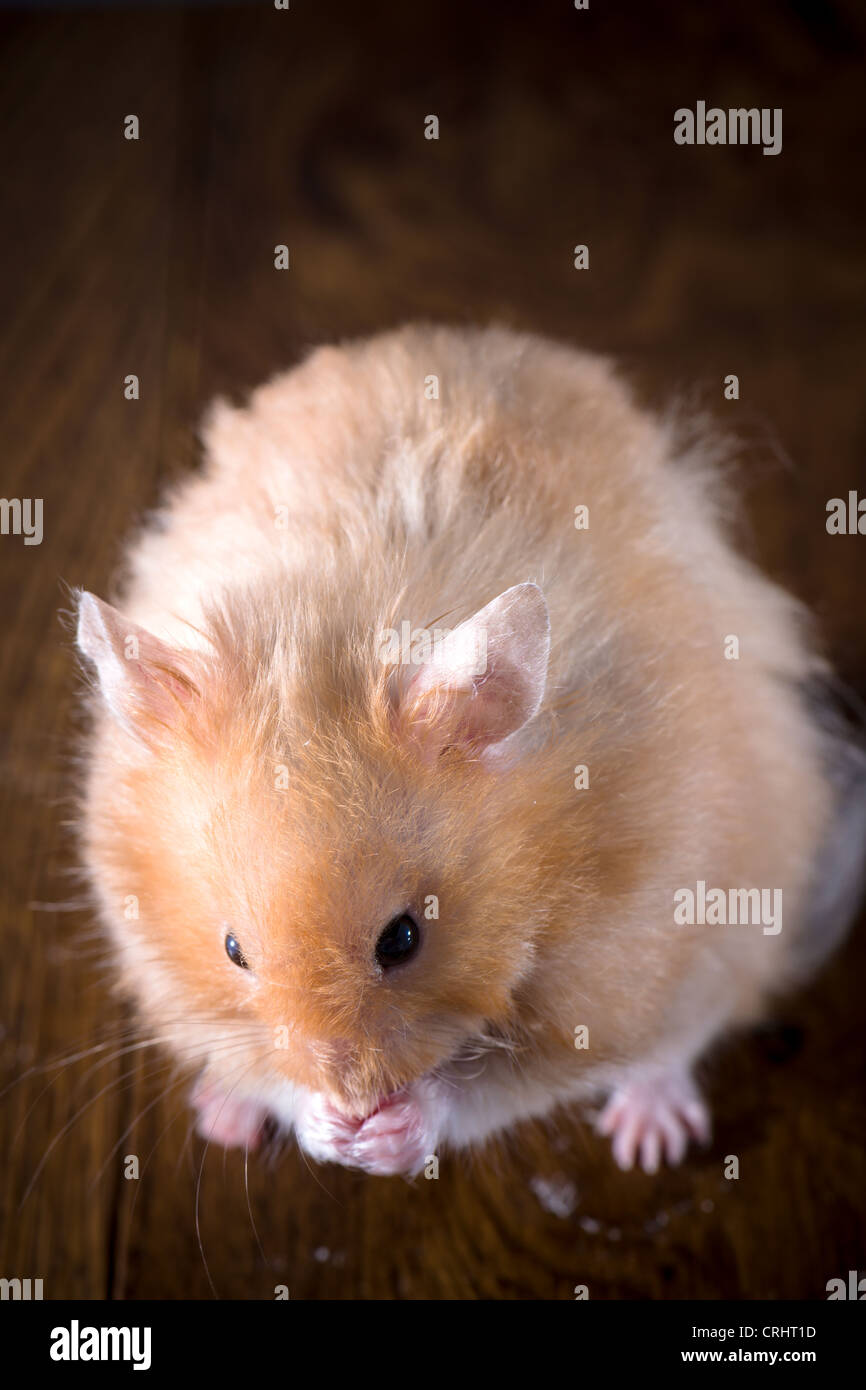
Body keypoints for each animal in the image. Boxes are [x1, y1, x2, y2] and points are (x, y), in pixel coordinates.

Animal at [72, 323, 865, 1177]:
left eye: (403, 939)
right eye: (233, 951)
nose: (352, 1093)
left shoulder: (618, 965)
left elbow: (495, 1084)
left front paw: (393, 1128)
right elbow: (265, 1065)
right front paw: (328, 1126)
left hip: (731, 926)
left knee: (675, 1044)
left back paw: (648, 1140)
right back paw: (224, 1116)